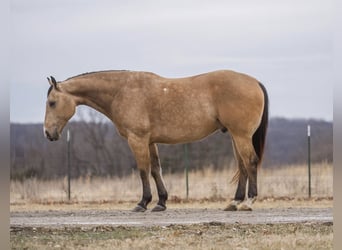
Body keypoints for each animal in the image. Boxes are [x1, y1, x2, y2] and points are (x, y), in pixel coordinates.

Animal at [42, 69, 268, 212]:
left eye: (52, 103)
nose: (47, 133)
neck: (122, 91)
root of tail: (254, 81)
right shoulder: (150, 142)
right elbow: (155, 170)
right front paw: (161, 203)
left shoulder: (137, 140)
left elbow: (143, 171)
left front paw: (142, 203)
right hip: (235, 136)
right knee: (242, 165)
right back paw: (235, 202)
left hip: (241, 135)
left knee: (250, 162)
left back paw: (248, 202)